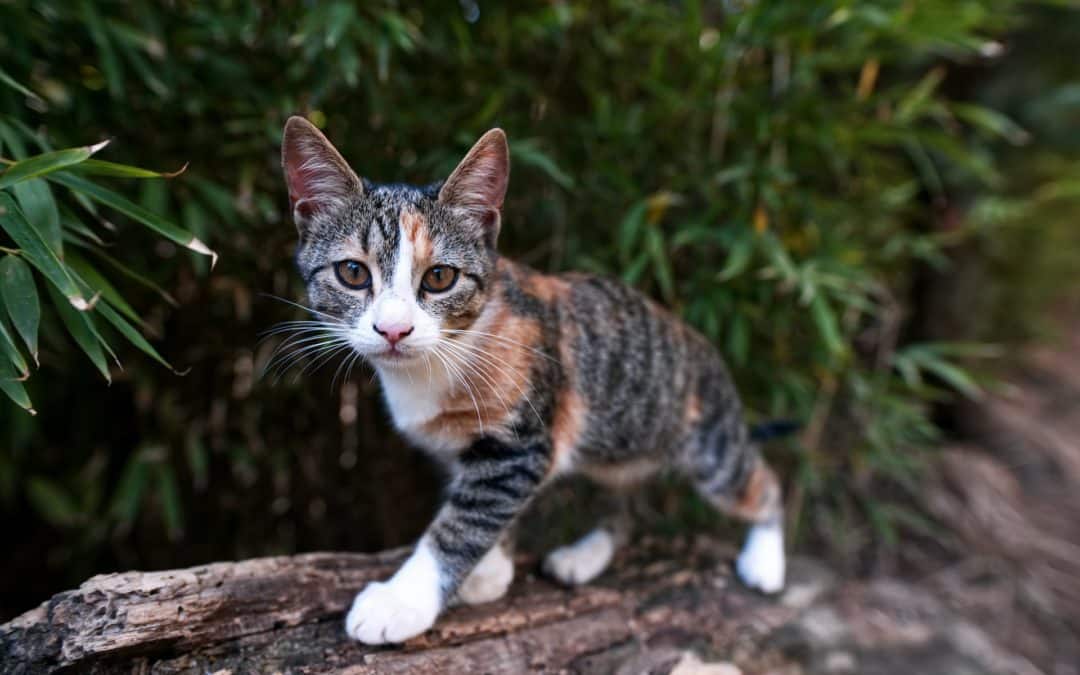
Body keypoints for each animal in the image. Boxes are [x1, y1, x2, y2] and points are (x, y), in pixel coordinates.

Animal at [278, 115, 786, 643]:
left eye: (439, 277)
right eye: (353, 272)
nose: (394, 329)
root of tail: (703, 343)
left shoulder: (522, 442)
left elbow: (463, 522)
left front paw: (403, 600)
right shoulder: (472, 450)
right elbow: (481, 507)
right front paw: (490, 571)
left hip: (708, 444)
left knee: (759, 483)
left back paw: (766, 561)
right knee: (625, 504)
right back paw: (587, 554)